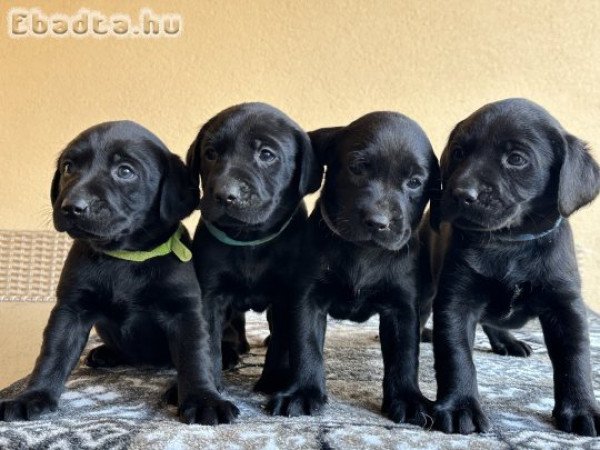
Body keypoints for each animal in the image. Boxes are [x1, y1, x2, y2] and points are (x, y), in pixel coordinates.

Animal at [0, 121, 238, 424]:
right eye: (68, 167)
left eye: (125, 171)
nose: (72, 207)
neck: (126, 257)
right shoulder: (71, 308)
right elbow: (53, 354)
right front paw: (33, 396)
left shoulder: (185, 310)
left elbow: (196, 356)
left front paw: (203, 399)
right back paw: (105, 353)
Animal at [186, 103, 324, 392]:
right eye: (210, 154)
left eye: (266, 155)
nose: (225, 194)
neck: (249, 239)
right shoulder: (210, 293)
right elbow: (207, 341)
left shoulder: (286, 296)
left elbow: (282, 341)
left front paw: (274, 380)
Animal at [270, 110, 438, 424]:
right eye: (357, 167)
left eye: (414, 182)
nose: (378, 222)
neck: (364, 251)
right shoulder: (307, 297)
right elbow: (306, 343)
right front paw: (303, 392)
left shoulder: (402, 307)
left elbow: (404, 355)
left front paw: (408, 399)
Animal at [424, 99, 600, 436]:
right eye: (459, 152)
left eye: (516, 159)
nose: (461, 193)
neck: (510, 243)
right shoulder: (455, 300)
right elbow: (455, 354)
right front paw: (460, 406)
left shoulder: (565, 304)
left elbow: (575, 358)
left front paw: (582, 409)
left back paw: (507, 341)